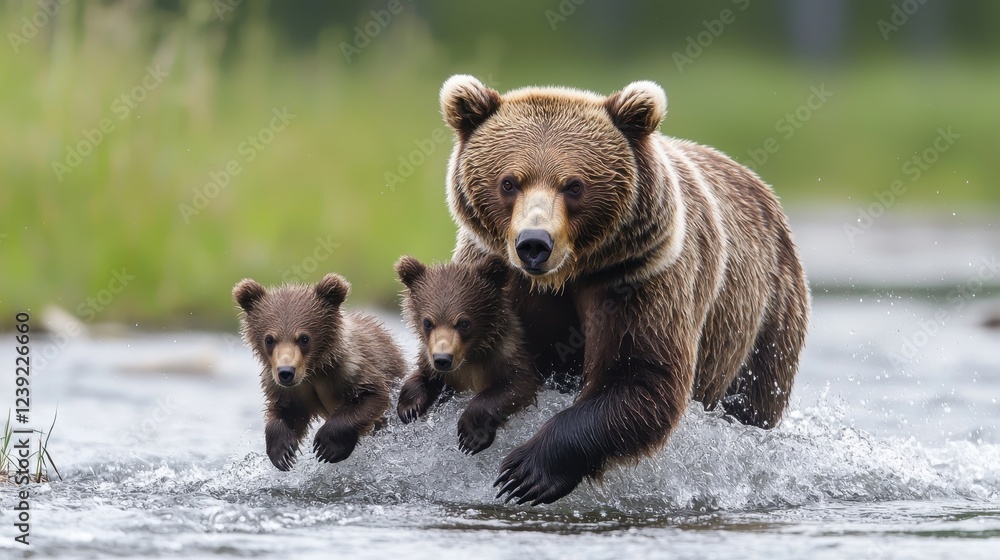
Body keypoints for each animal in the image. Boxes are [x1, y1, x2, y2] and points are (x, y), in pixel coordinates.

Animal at [233, 273, 406, 471]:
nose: (286, 372)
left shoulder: (350, 368)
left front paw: (327, 446)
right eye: (269, 339)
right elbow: (286, 413)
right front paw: (283, 452)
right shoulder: (288, 389)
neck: (313, 371)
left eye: (304, 338)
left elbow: (371, 396)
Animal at [394, 255, 542, 454]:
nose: (442, 359)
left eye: (464, 323)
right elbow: (421, 375)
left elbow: (517, 386)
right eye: (427, 322)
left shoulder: (506, 355)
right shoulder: (436, 365)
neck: (470, 357)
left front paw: (471, 437)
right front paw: (409, 408)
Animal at [438, 75, 811, 505]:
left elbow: (640, 376)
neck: (566, 276)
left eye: (574, 185)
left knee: (753, 401)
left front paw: (526, 471)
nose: (534, 243)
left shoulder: (636, 277)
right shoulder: (497, 279)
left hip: (765, 320)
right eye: (508, 182)